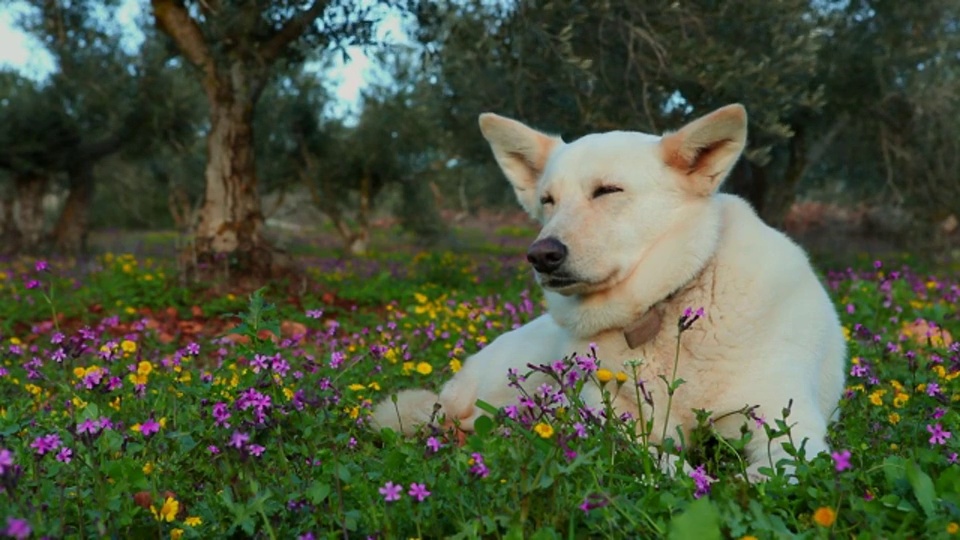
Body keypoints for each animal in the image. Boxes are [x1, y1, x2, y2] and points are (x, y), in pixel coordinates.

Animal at [372, 103, 844, 478]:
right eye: (547, 200)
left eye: (608, 191)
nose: (540, 255)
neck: (663, 307)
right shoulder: (612, 422)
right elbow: (666, 462)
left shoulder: (790, 427)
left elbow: (766, 476)